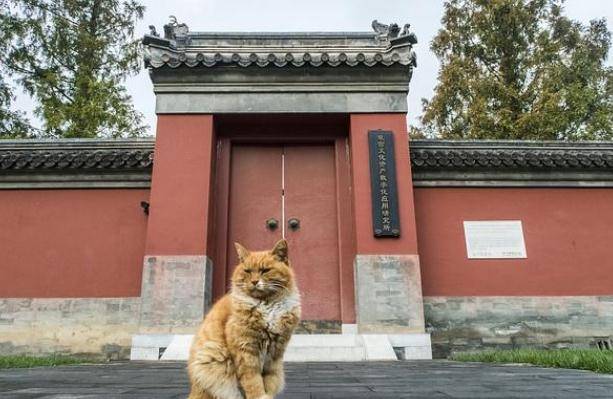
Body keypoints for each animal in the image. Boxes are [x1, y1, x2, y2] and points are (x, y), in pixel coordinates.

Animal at [188, 241, 300, 399]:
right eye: (247, 271)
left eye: (265, 270)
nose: (254, 281)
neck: (267, 305)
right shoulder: (245, 351)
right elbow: (253, 382)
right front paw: (259, 395)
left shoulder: (274, 353)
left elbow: (269, 381)